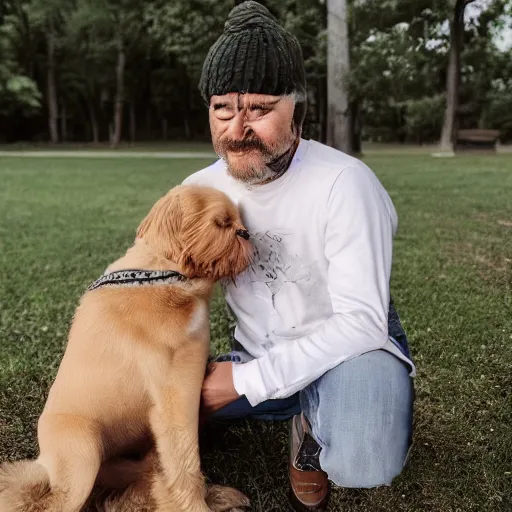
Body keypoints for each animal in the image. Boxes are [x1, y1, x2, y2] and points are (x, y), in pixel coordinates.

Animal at [0, 185, 253, 512]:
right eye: (221, 223)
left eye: (239, 220)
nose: (246, 233)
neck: (167, 276)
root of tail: (45, 461)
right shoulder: (176, 397)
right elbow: (185, 463)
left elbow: (178, 466)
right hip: (83, 455)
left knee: (145, 479)